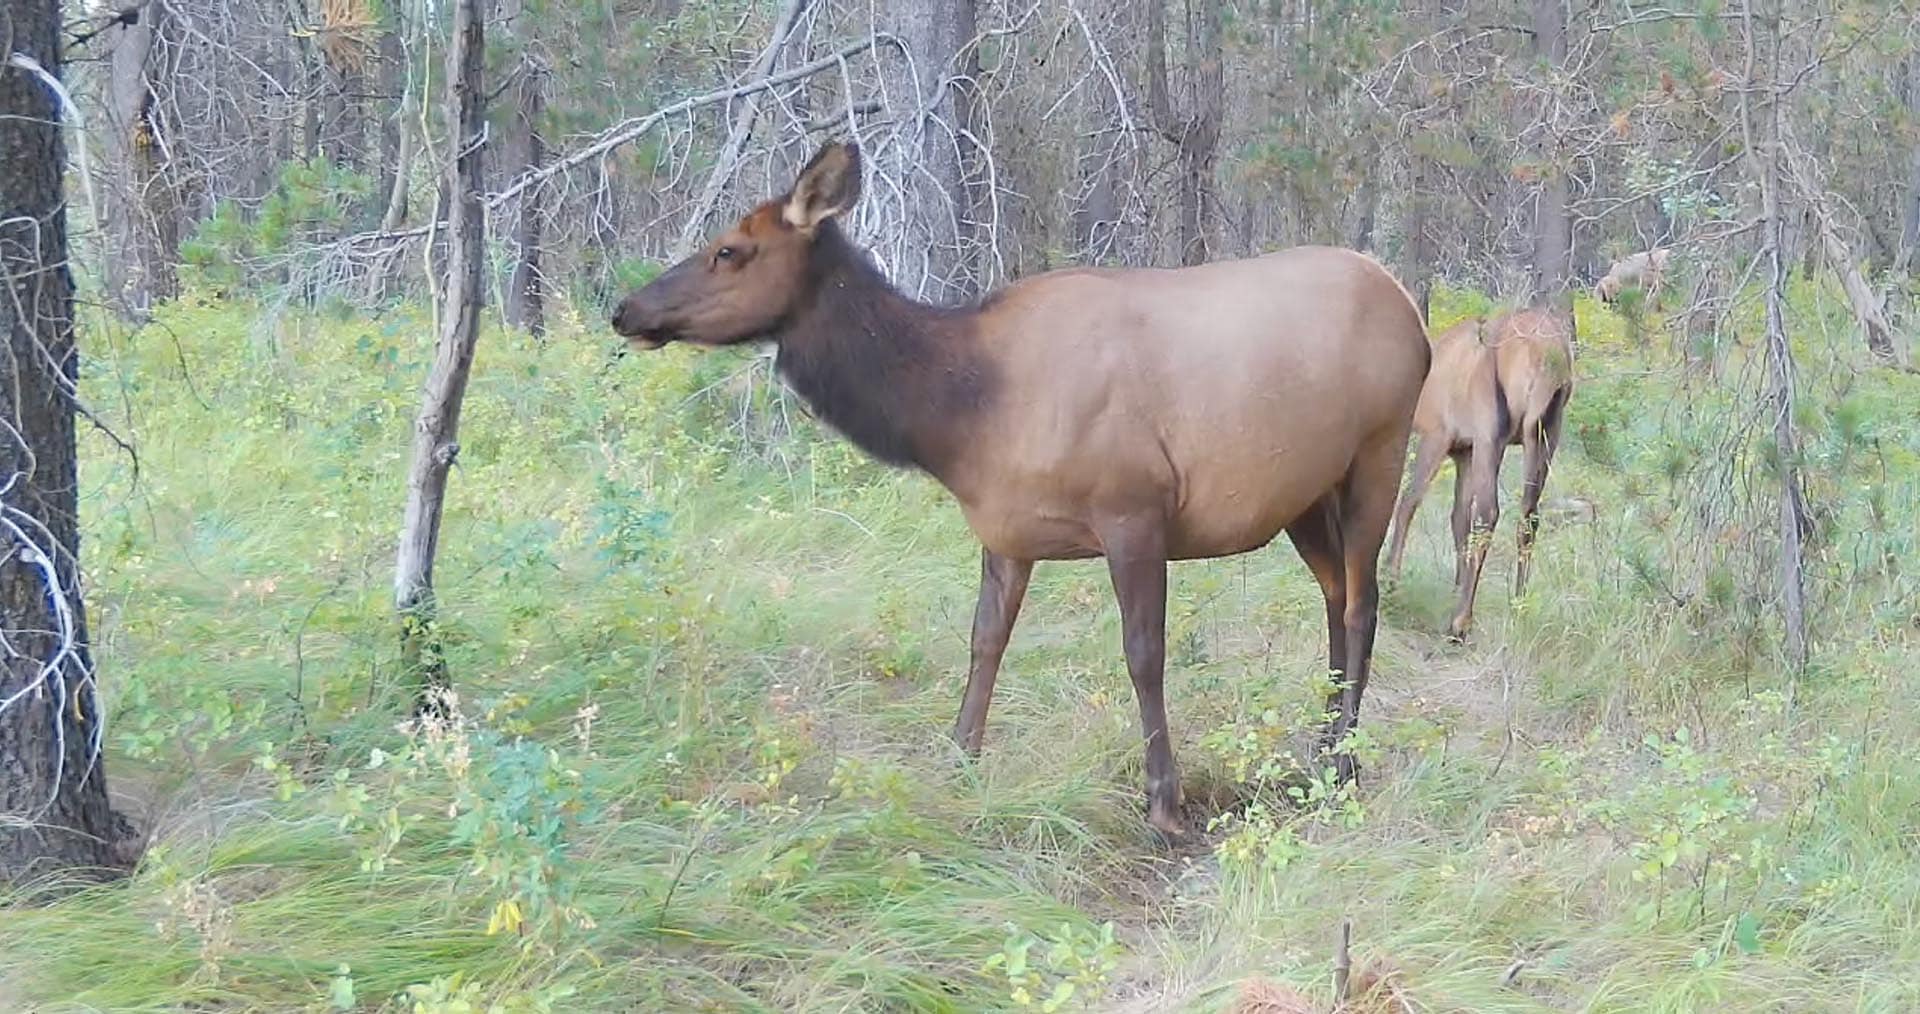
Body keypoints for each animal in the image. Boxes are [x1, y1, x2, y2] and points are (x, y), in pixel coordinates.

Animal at [610, 141, 1430, 837]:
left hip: (1379, 451)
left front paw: (1164, 803)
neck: (961, 416)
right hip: (1305, 494)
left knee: (1361, 601)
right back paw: (1321, 746)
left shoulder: (1134, 509)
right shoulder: (1004, 532)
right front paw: (959, 762)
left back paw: (1343, 764)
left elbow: (1143, 652)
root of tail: (1411, 307)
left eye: (729, 249)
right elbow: (985, 643)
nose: (625, 309)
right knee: (1334, 594)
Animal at [1384, 308, 1574, 642]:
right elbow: (1458, 518)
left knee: (1489, 513)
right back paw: (1517, 607)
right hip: (1546, 433)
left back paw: (1461, 622)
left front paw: (1390, 582)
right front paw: (1456, 588)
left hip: (1493, 432)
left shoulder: (1440, 435)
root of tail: (1548, 359)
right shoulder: (1465, 451)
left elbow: (1408, 502)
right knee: (1529, 516)